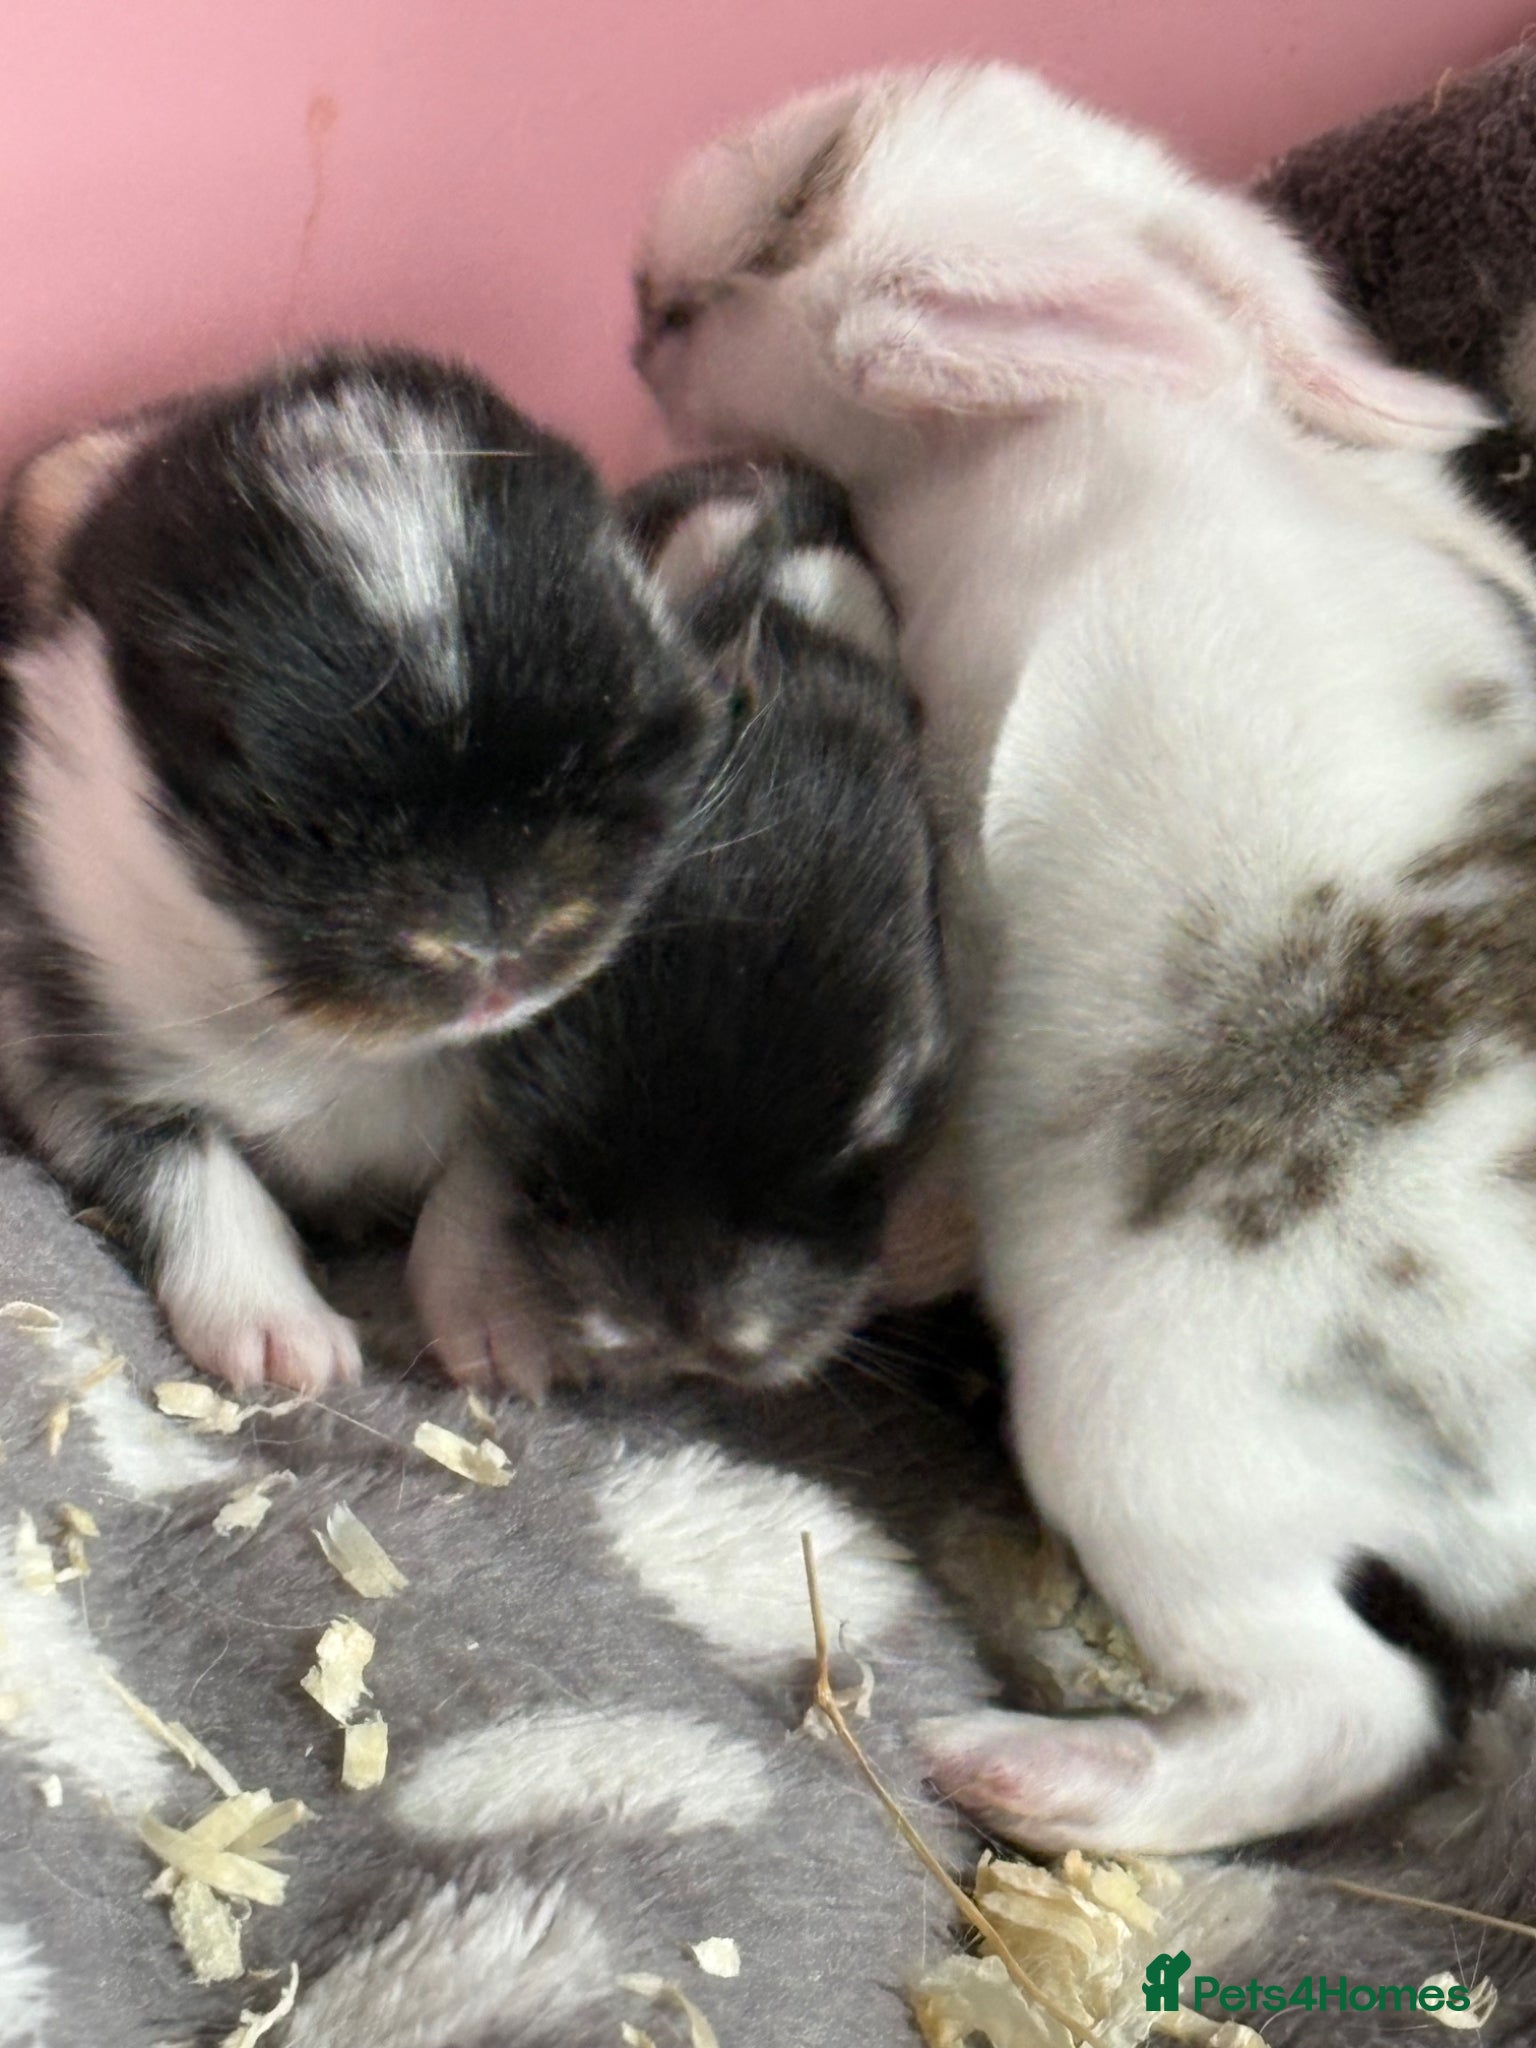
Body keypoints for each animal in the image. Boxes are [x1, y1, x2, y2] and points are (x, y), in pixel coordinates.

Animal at [0, 348, 717, 1394]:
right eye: (293, 821)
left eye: (604, 755)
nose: (493, 949)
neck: (350, 1043)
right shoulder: (66, 1046)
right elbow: (193, 1165)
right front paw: (286, 1346)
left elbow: (478, 1182)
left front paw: (505, 1336)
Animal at [631, 63, 1536, 1855]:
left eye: (792, 214)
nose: (637, 301)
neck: (1077, 419)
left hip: (1144, 1448)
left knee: (1349, 1717)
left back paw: (1014, 1770)